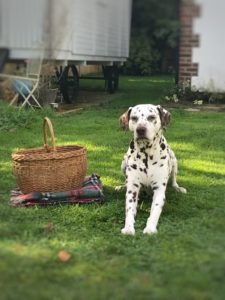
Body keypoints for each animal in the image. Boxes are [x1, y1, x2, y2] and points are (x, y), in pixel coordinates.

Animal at [118, 104, 186, 236]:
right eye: (134, 118)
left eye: (151, 117)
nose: (140, 130)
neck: (146, 155)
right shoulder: (133, 189)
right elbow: (129, 210)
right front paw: (128, 227)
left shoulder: (159, 190)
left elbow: (155, 212)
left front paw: (150, 228)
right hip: (123, 162)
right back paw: (121, 186)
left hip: (174, 160)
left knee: (174, 180)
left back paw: (178, 188)